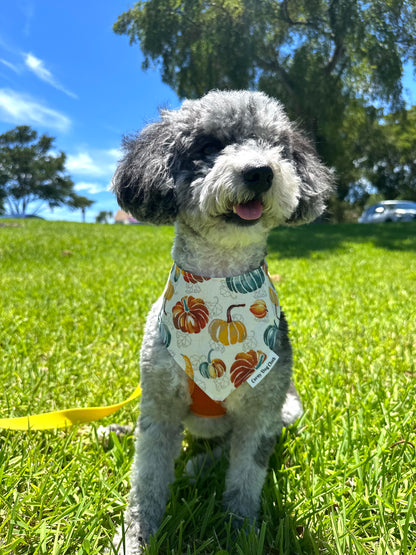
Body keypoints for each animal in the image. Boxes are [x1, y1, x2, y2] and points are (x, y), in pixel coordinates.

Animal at [109, 89, 332, 552]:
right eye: (209, 146)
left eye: (276, 147)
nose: (260, 171)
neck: (218, 284)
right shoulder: (158, 406)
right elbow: (146, 481)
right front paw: (135, 538)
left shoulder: (261, 412)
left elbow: (245, 480)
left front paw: (241, 534)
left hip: (289, 410)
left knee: (225, 449)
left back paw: (200, 467)